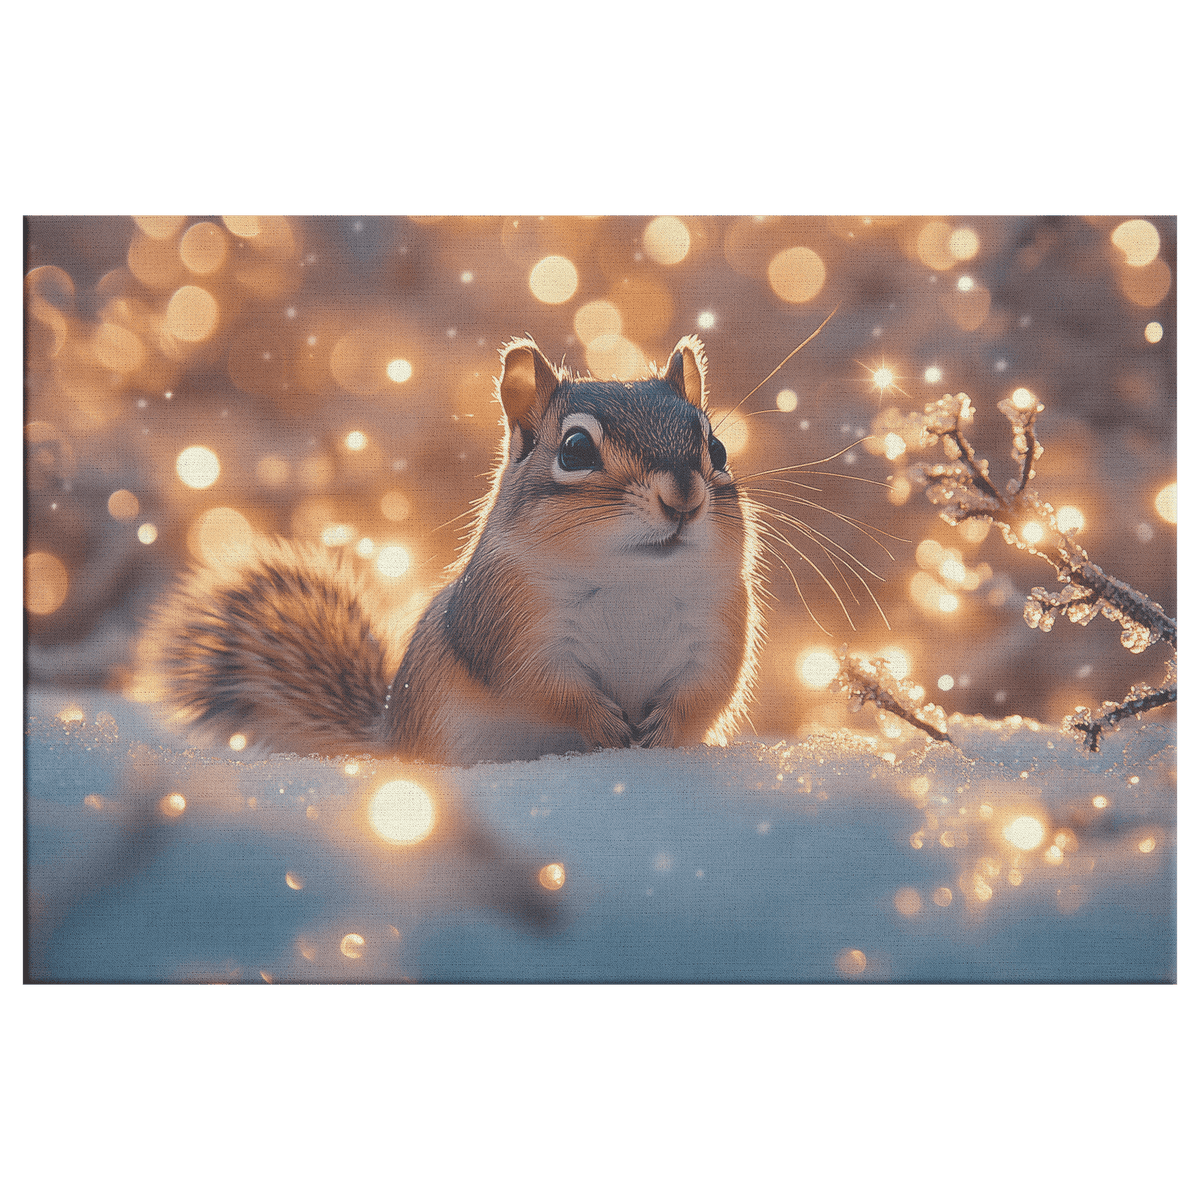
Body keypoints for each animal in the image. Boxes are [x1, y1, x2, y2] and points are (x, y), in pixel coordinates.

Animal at [149, 335, 763, 767]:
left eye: (716, 447)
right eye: (575, 449)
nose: (683, 497)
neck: (637, 579)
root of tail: (388, 740)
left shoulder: (718, 630)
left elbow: (707, 690)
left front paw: (662, 731)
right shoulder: (509, 628)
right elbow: (544, 689)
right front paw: (606, 726)